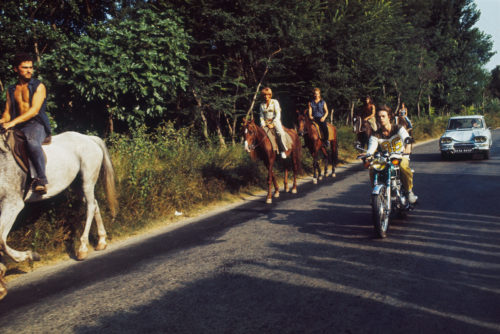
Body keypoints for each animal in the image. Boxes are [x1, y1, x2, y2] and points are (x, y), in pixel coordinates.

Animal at [0, 130, 118, 266]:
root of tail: (89, 138)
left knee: (90, 207)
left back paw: (82, 249)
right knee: (94, 204)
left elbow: (1, 240)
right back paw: (101, 242)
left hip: (87, 181)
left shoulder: (12, 204)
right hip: (78, 185)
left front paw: (30, 256)